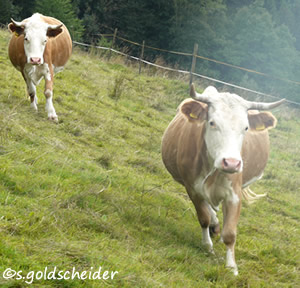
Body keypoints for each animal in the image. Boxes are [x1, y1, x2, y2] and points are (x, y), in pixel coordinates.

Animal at [162, 84, 284, 276]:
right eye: (212, 122)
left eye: (246, 128)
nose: (232, 162)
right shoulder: (192, 188)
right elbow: (203, 217)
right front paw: (208, 245)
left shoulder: (234, 195)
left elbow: (230, 233)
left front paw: (232, 267)